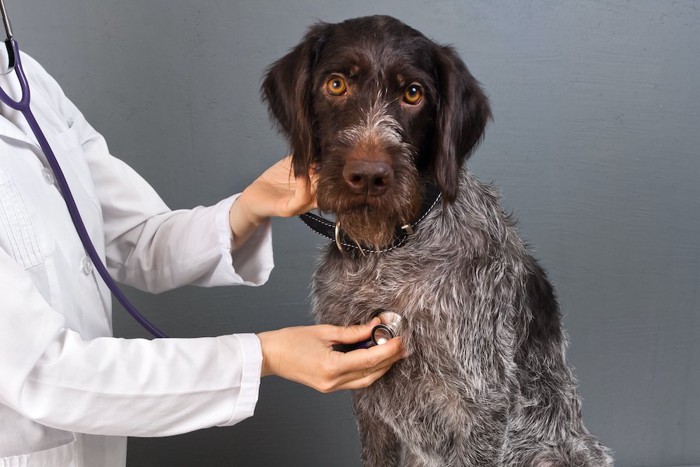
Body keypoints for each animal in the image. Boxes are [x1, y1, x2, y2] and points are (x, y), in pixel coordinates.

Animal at [262, 14, 612, 467]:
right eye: (336, 84)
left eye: (413, 93)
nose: (369, 176)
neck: (388, 251)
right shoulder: (368, 396)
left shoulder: (481, 405)